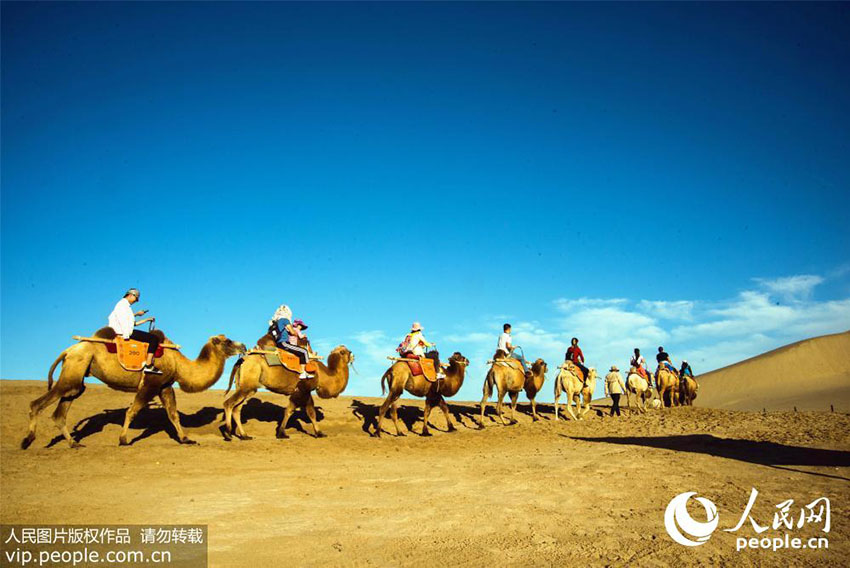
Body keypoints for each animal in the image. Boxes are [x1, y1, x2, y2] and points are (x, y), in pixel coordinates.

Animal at [21, 328, 245, 448]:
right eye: (227, 341)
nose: (243, 346)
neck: (179, 363)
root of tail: (68, 350)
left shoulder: (165, 386)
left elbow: (173, 414)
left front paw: (185, 439)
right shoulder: (151, 383)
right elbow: (132, 410)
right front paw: (123, 439)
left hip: (77, 377)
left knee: (60, 412)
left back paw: (74, 443)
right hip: (74, 371)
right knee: (36, 404)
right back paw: (27, 440)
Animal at [224, 344, 352, 442]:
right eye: (346, 351)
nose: (353, 356)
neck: (322, 374)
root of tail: (242, 360)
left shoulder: (302, 391)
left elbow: (300, 411)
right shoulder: (303, 389)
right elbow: (301, 411)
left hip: (247, 387)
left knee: (237, 409)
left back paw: (244, 436)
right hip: (247, 385)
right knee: (228, 403)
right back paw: (228, 434)